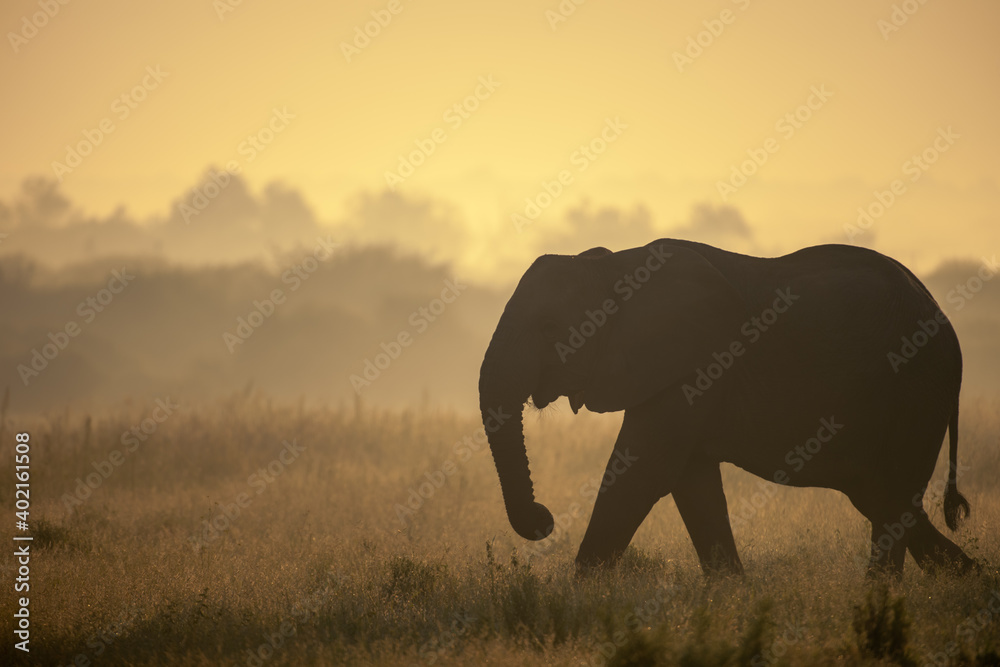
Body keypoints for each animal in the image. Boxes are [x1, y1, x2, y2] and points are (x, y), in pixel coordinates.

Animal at [478, 240, 976, 580]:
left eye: (549, 327)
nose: (544, 518)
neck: (615, 265)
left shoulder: (695, 364)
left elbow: (642, 473)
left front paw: (579, 596)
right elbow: (692, 482)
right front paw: (732, 599)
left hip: (916, 387)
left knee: (891, 499)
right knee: (883, 497)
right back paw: (969, 579)